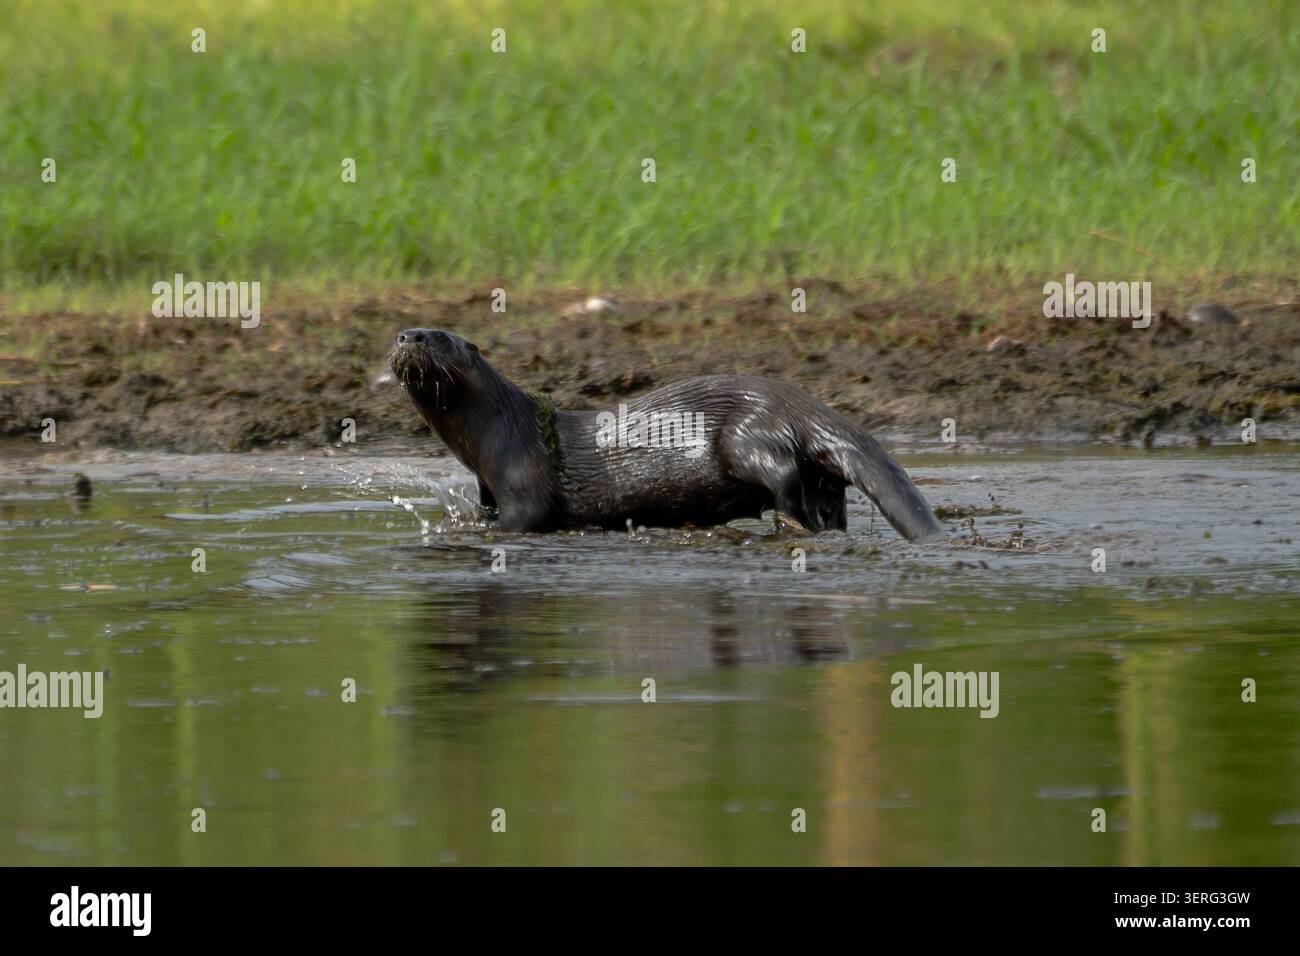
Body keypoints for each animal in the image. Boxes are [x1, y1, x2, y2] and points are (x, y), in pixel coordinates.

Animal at [391, 328, 944, 541]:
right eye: (407, 331)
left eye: (438, 336)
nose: (406, 335)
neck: (500, 432)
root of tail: (804, 404)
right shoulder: (487, 485)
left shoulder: (525, 482)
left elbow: (523, 520)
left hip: (747, 435)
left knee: (783, 476)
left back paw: (788, 521)